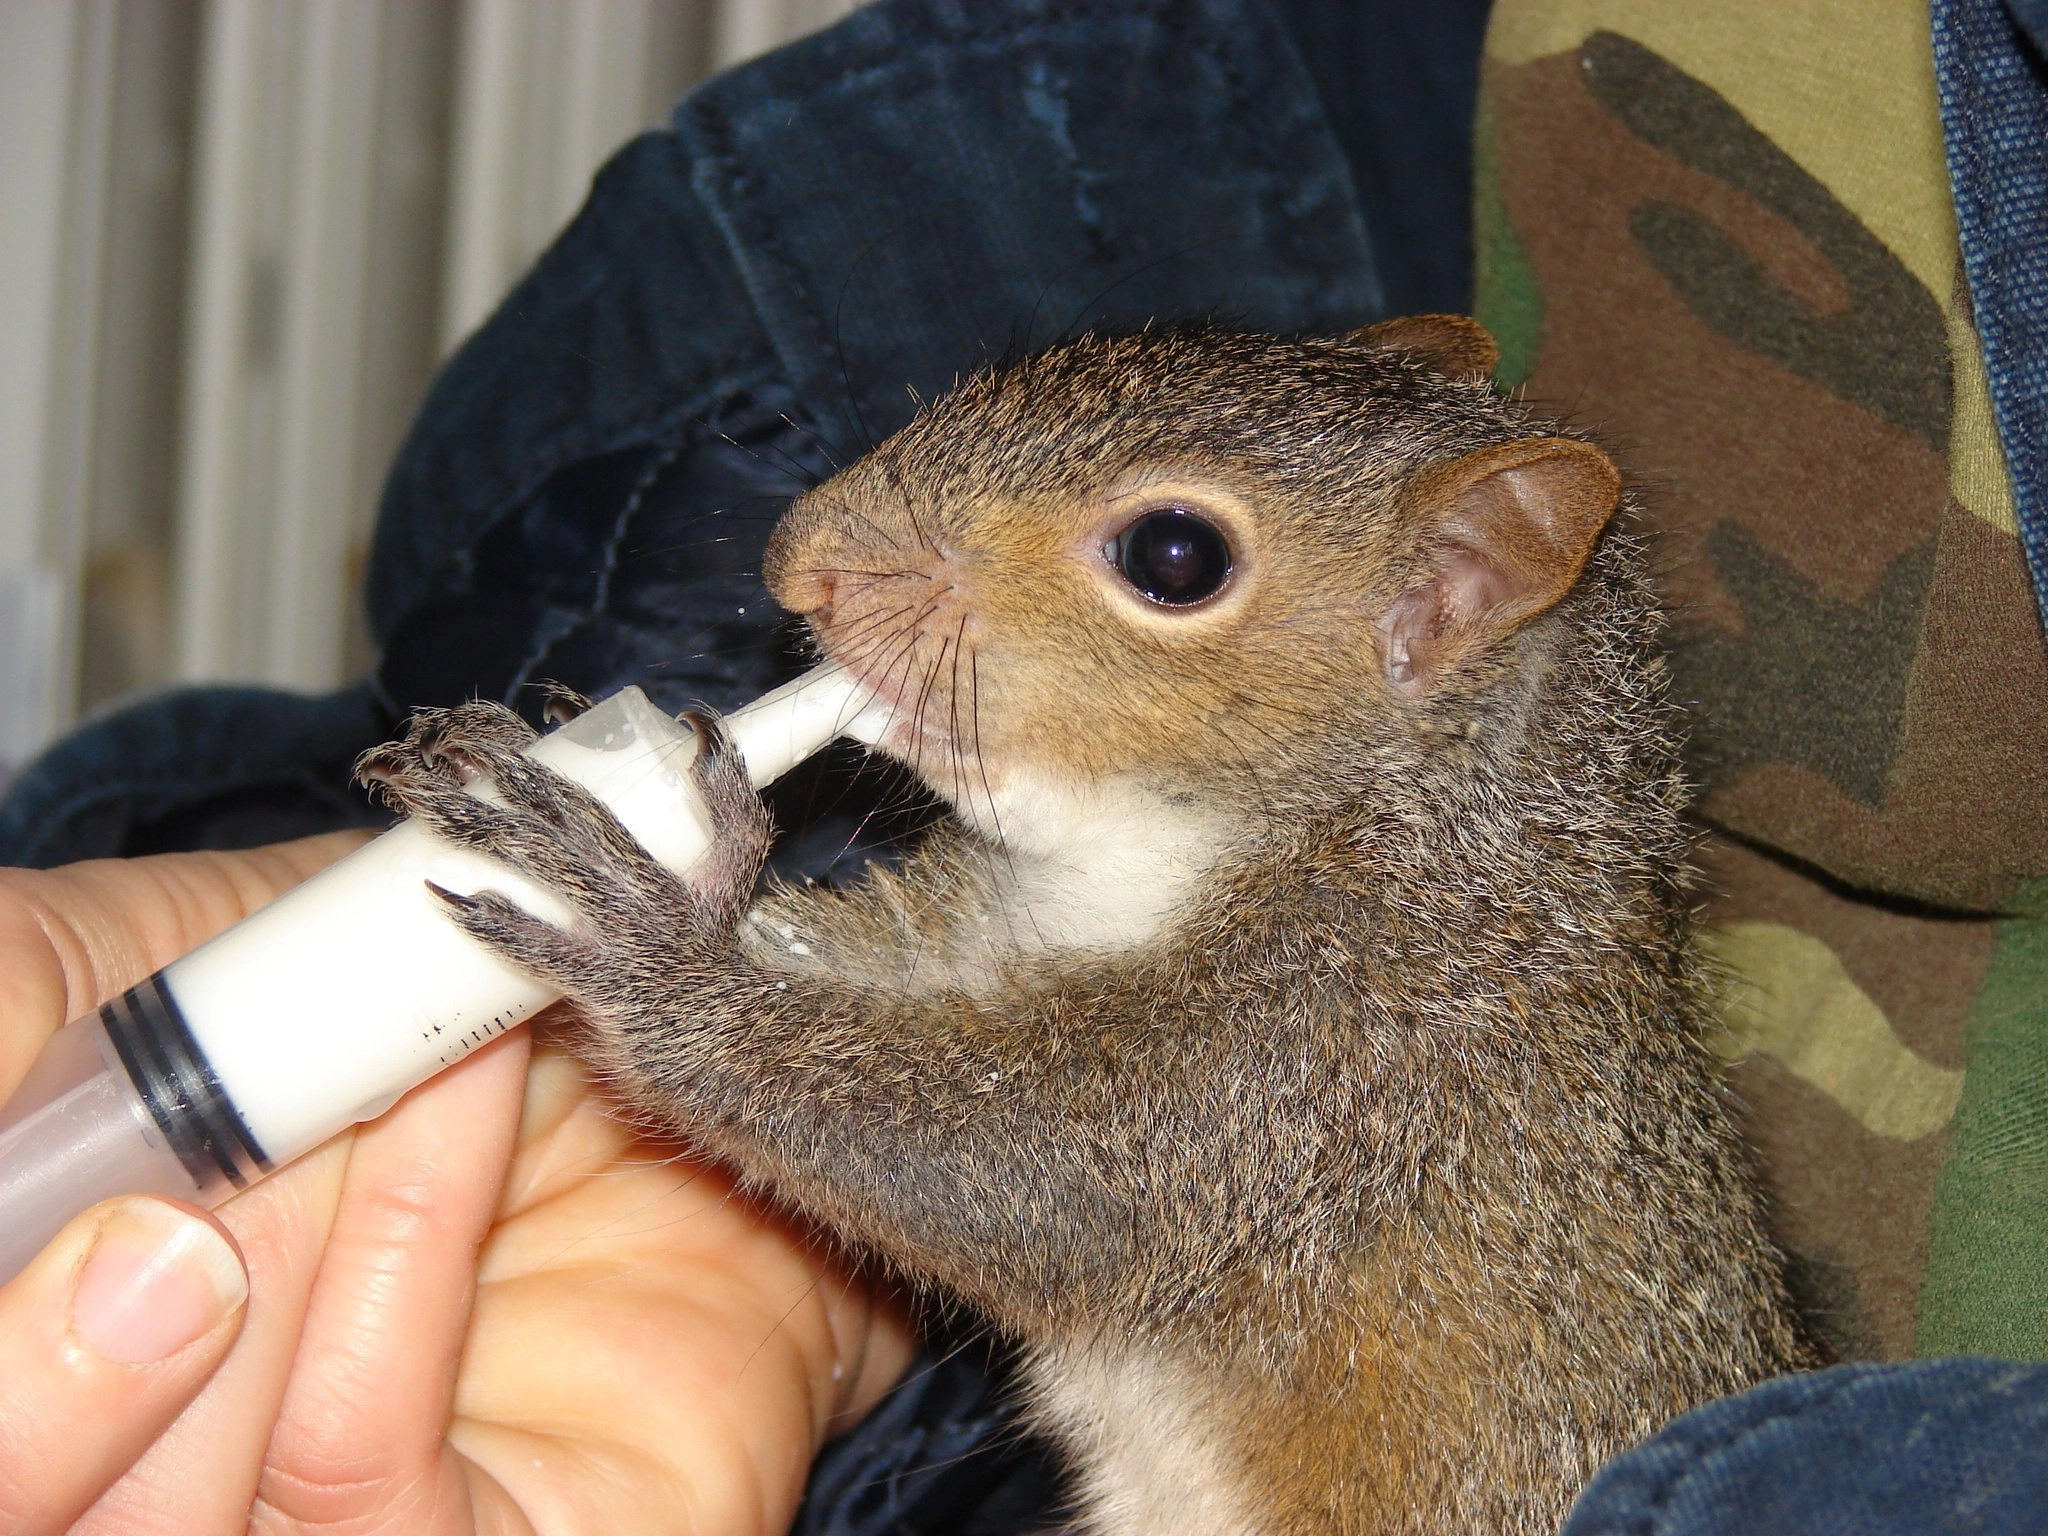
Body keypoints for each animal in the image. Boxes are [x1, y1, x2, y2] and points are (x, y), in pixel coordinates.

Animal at [360, 315, 1818, 1536]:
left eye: (1176, 559)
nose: (799, 562)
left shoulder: (1332, 1061)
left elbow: (1025, 1170)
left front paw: (651, 947)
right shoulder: (990, 930)